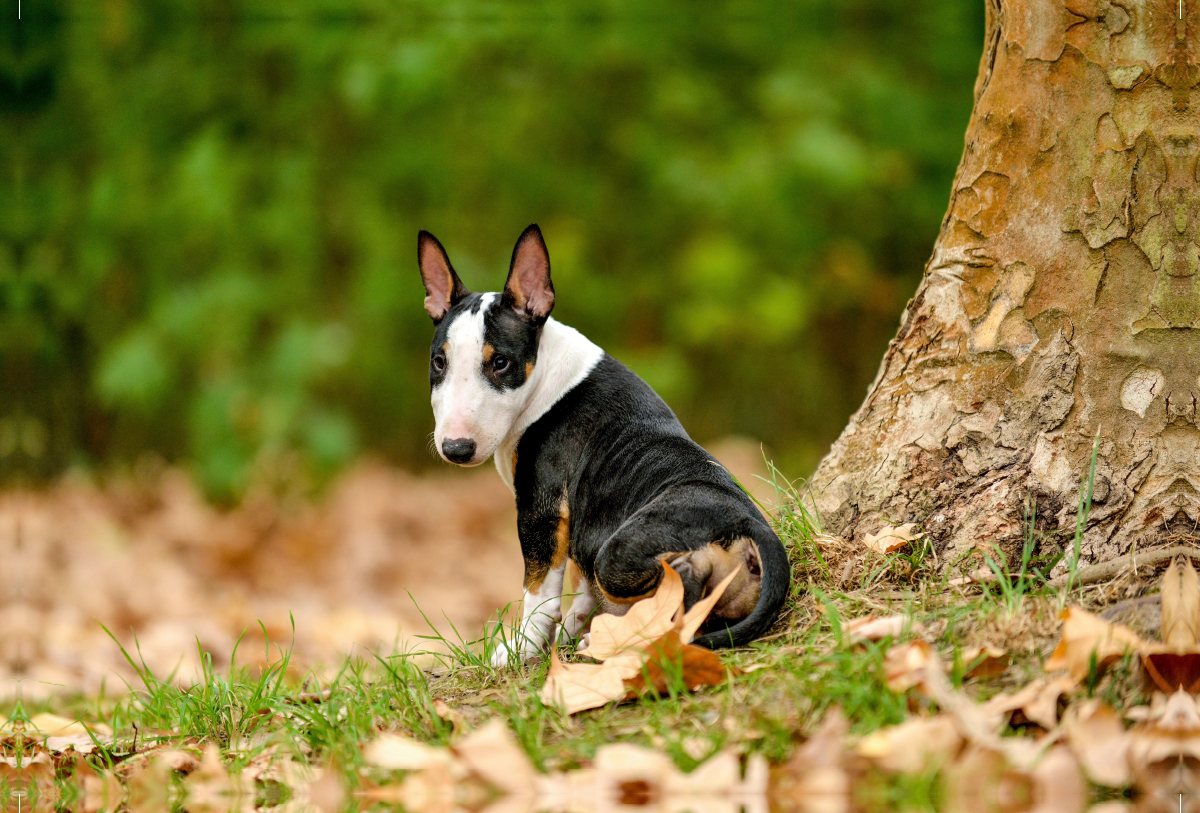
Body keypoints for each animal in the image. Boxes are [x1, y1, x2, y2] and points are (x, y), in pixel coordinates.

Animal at [417, 224, 792, 666]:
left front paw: (520, 649)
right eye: (439, 362)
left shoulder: (543, 509)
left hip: (618, 553)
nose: (456, 448)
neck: (546, 376)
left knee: (682, 583)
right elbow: (578, 585)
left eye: (501, 363)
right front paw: (573, 625)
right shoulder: (580, 516)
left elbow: (539, 592)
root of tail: (749, 525)